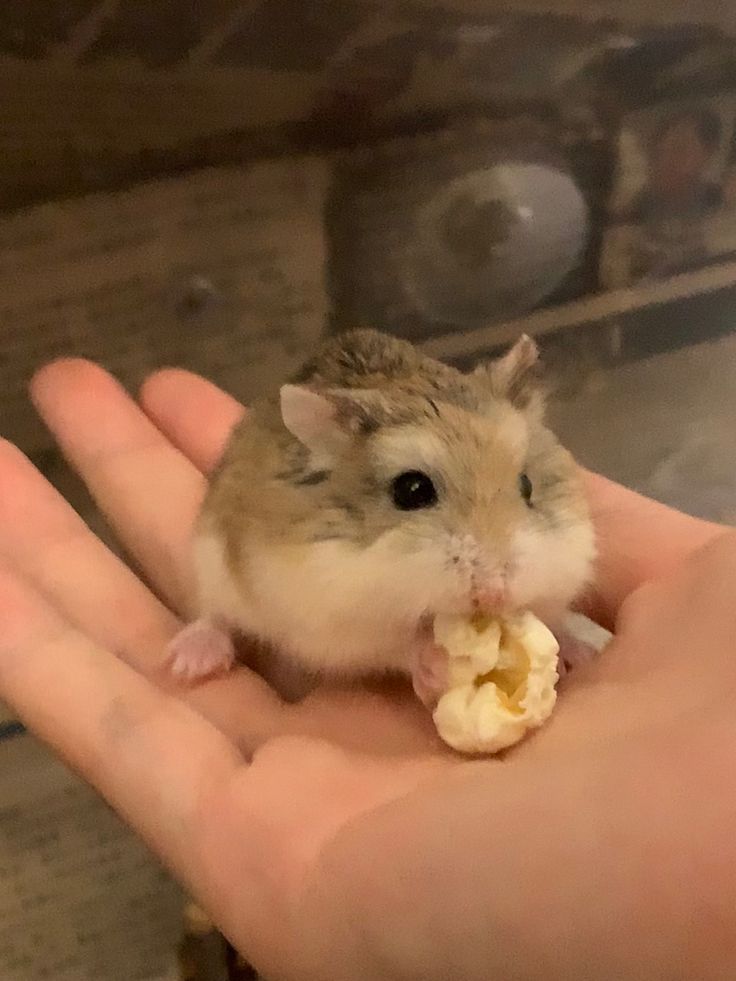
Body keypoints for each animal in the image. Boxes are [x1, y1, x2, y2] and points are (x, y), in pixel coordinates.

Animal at [167, 329, 596, 704]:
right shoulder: (338, 623)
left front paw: (576, 647)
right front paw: (437, 667)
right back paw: (187, 664)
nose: (493, 595)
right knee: (214, 614)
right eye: (412, 491)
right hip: (212, 563)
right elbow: (399, 646)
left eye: (527, 485)